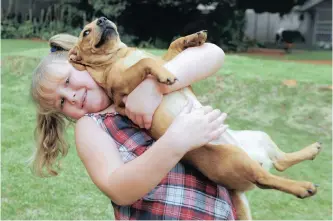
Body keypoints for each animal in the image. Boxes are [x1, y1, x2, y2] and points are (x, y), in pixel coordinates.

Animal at [63, 17, 320, 219]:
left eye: (94, 24)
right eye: (85, 32)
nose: (102, 19)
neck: (119, 56)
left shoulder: (168, 60)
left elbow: (169, 48)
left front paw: (193, 38)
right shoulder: (121, 88)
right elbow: (147, 62)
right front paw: (164, 74)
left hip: (258, 136)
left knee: (280, 161)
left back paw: (311, 150)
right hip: (236, 158)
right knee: (265, 178)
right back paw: (303, 187)